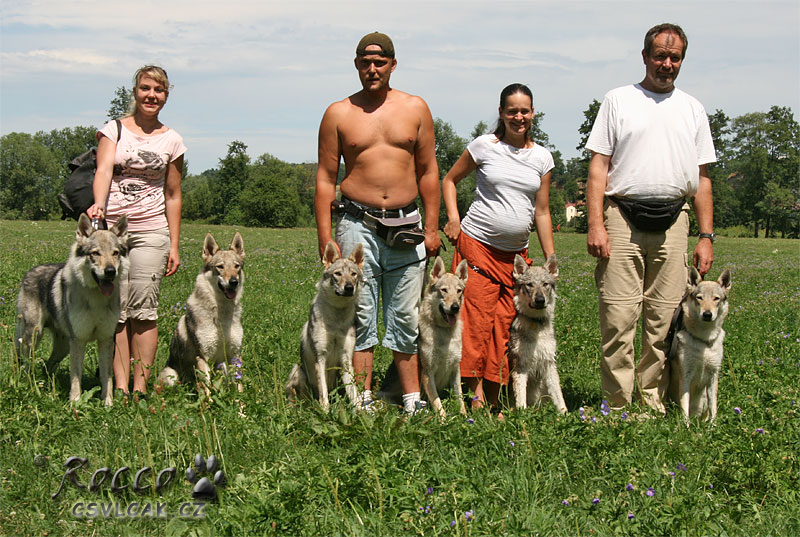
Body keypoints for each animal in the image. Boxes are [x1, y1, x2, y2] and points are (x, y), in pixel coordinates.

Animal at [13, 211, 129, 404]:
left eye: (115, 253)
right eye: (95, 253)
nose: (110, 271)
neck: (96, 299)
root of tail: (30, 271)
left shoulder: (105, 340)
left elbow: (107, 378)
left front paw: (108, 404)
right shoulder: (79, 341)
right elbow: (76, 378)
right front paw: (75, 403)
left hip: (64, 346)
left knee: (48, 365)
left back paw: (49, 386)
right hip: (34, 336)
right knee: (26, 364)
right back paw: (31, 387)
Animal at [157, 232, 242, 396]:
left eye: (237, 266)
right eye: (220, 267)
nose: (234, 281)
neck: (221, 313)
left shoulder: (235, 355)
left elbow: (239, 387)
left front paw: (241, 404)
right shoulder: (203, 357)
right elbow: (206, 390)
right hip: (171, 376)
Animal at [286, 241, 364, 412]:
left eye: (353, 274)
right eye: (338, 274)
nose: (349, 287)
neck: (337, 316)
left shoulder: (346, 359)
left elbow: (354, 393)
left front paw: (361, 414)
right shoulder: (320, 357)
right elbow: (324, 393)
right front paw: (326, 413)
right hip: (298, 370)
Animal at [510, 253, 564, 412]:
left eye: (545, 284)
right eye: (530, 284)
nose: (540, 300)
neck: (536, 323)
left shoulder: (549, 363)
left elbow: (559, 397)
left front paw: (565, 414)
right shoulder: (520, 366)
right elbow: (521, 400)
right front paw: (522, 415)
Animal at [664, 266, 736, 420]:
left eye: (716, 299)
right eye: (699, 297)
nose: (707, 314)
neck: (704, 340)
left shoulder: (713, 376)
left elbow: (713, 407)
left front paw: (713, 425)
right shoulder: (685, 376)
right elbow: (684, 408)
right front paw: (685, 425)